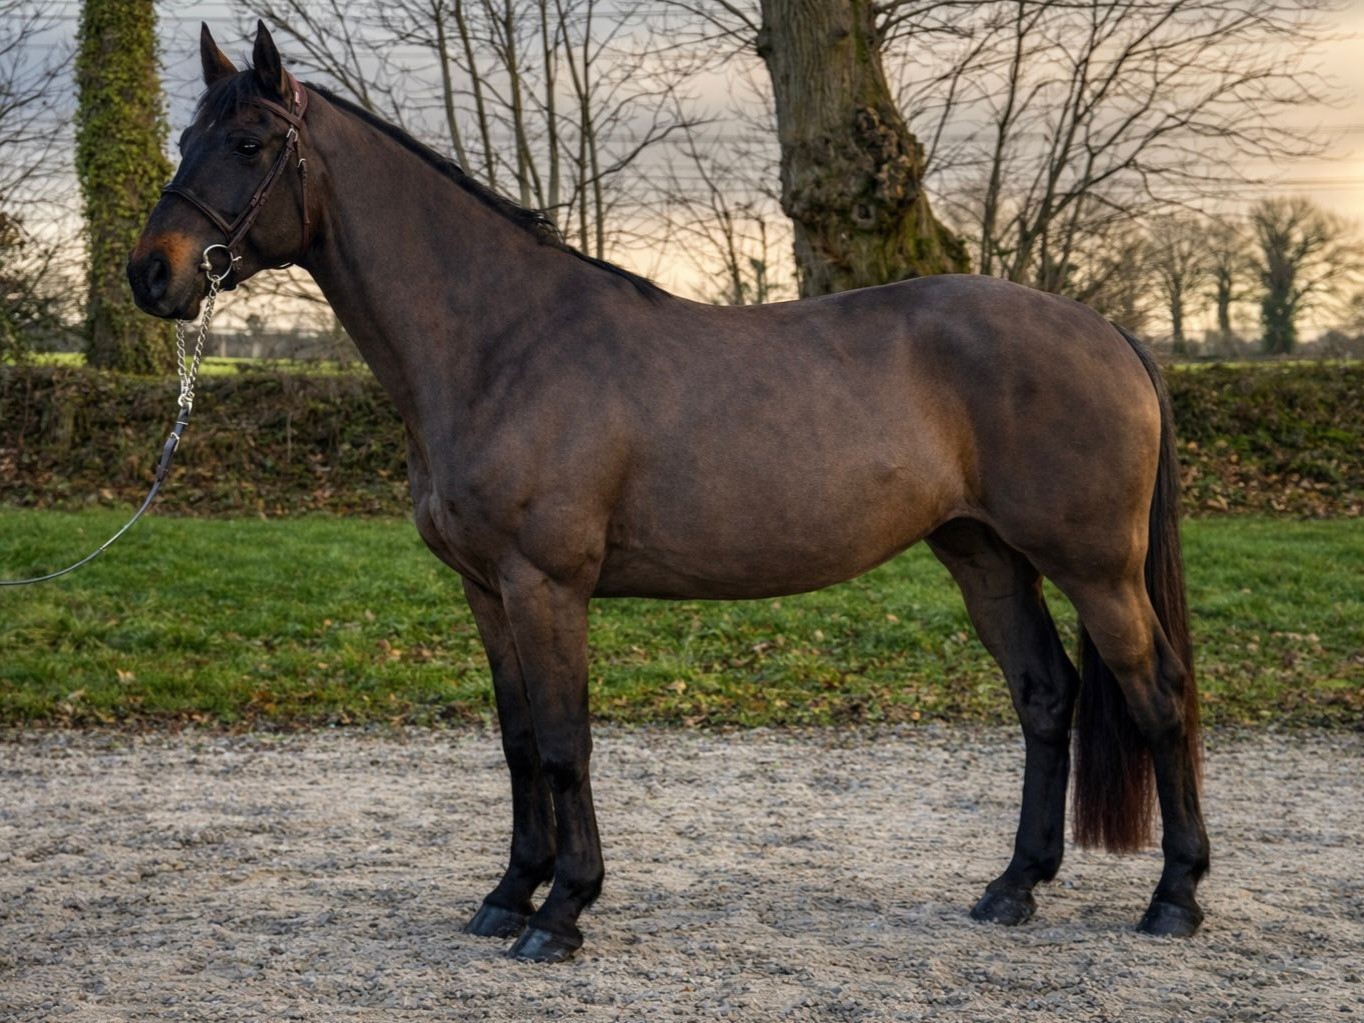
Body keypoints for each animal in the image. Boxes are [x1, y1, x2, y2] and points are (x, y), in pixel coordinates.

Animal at [128, 22, 1208, 963]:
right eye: (184, 139)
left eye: (249, 141)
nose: (151, 273)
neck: (500, 344)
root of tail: (1110, 333)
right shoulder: (485, 591)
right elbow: (518, 742)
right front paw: (505, 894)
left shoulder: (544, 584)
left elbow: (564, 744)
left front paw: (561, 912)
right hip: (982, 554)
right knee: (1044, 694)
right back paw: (1012, 887)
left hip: (1094, 567)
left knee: (1157, 694)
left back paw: (1175, 898)